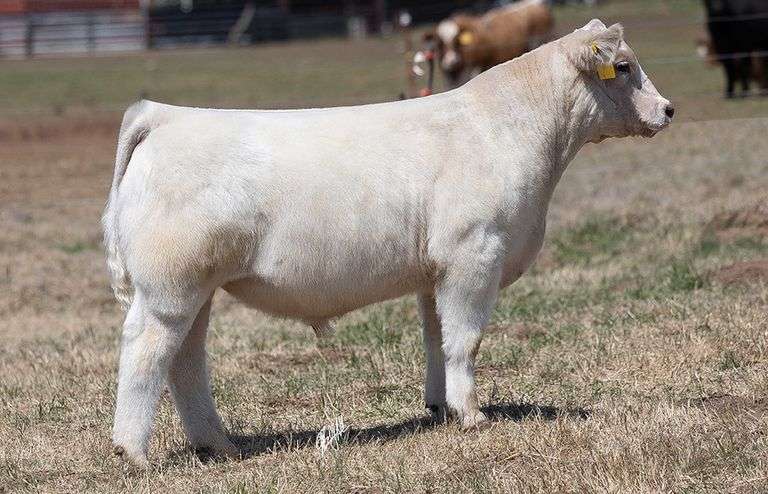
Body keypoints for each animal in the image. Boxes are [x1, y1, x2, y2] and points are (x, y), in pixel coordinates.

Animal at [104, 19, 673, 467]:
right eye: (623, 66)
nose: (668, 109)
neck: (510, 130)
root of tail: (167, 115)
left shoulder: (435, 271)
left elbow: (436, 338)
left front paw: (441, 407)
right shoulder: (475, 255)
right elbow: (466, 339)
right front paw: (473, 414)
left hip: (195, 289)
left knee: (185, 359)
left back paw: (217, 444)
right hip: (169, 289)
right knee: (146, 351)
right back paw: (133, 452)